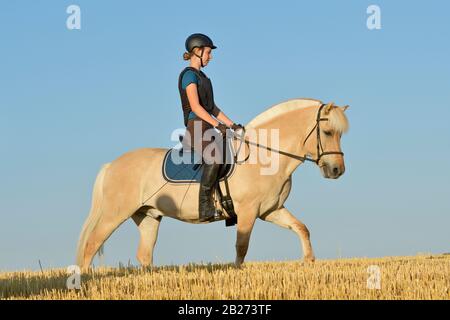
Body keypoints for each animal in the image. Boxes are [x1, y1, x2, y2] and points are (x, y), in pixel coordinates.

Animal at [76, 97, 352, 270]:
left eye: (339, 134)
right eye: (328, 132)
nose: (337, 170)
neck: (266, 155)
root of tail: (111, 165)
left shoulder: (270, 210)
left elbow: (301, 228)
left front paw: (309, 261)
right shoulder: (248, 211)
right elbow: (242, 245)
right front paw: (237, 273)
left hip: (148, 216)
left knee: (144, 254)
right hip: (115, 213)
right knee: (91, 245)